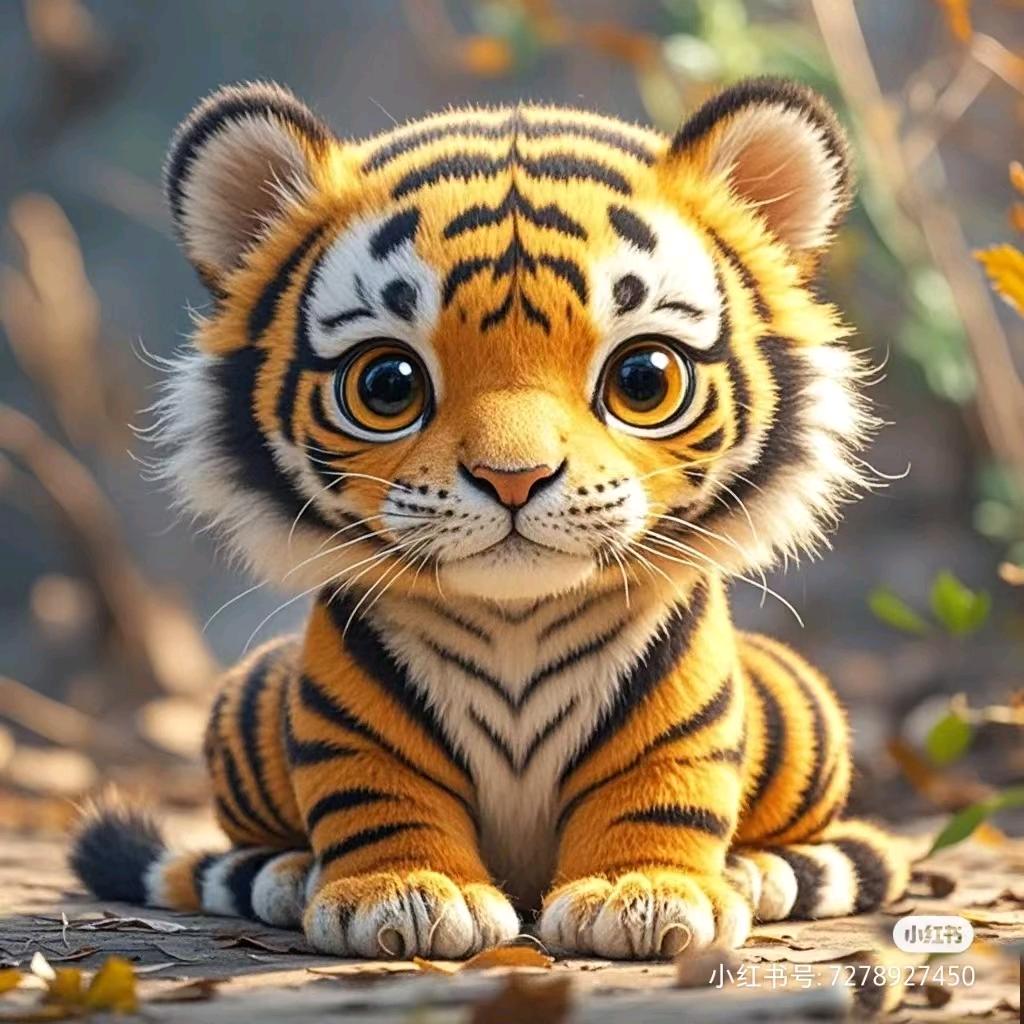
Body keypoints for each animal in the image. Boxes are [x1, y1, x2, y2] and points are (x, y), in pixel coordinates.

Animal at [70, 77, 911, 961]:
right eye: (388, 385)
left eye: (643, 379)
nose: (516, 477)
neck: (516, 620)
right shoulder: (346, 716)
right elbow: (374, 792)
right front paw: (405, 896)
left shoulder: (685, 712)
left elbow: (664, 786)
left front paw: (645, 896)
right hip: (249, 697)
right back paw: (292, 877)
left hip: (803, 707)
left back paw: (756, 873)